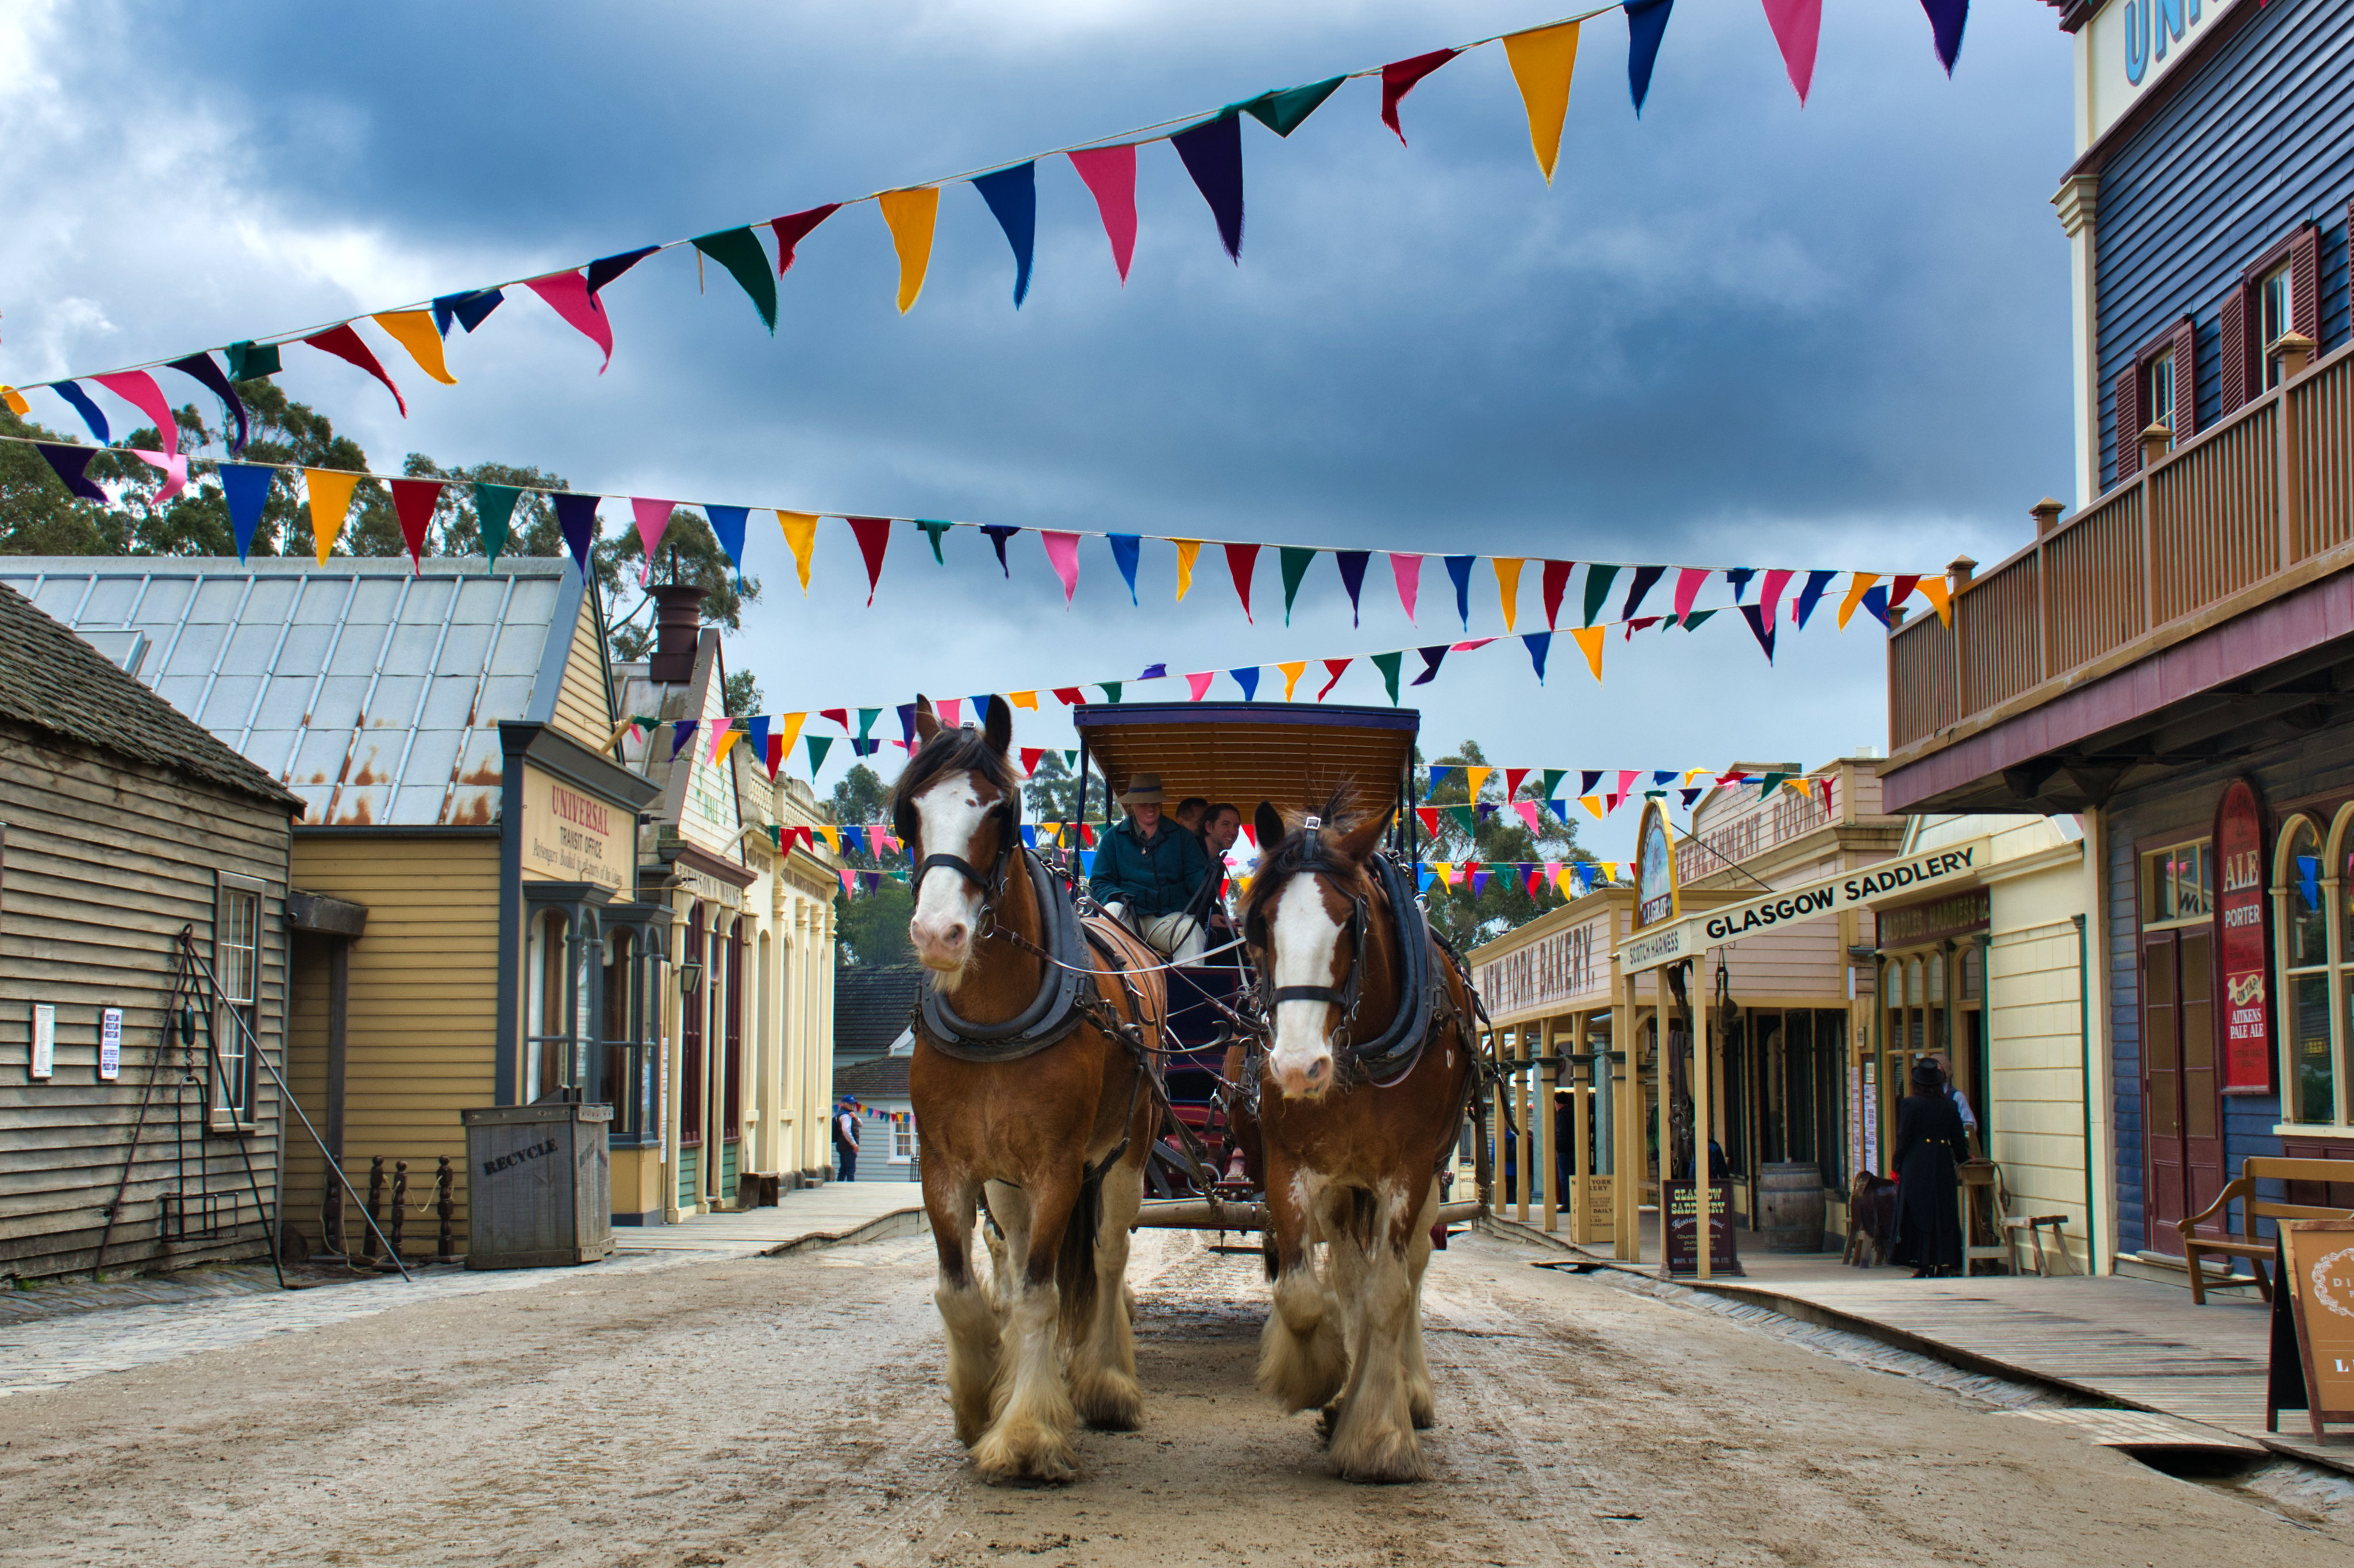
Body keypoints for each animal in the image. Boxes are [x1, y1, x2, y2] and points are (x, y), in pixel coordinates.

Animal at [894, 696, 1163, 1478]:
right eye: (910, 811)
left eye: (1002, 811)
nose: (940, 933)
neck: (997, 1020)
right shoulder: (949, 1165)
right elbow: (962, 1290)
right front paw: (979, 1396)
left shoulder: (1058, 1168)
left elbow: (1045, 1292)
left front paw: (1026, 1433)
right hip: (1006, 1176)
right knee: (1013, 1258)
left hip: (1126, 1153)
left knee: (1107, 1255)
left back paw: (1106, 1381)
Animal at [1233, 795, 1468, 1478]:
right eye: (1261, 925)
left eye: (1349, 922)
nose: (1295, 1068)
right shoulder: (1287, 1163)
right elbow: (1305, 1292)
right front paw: (1319, 1377)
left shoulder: (1411, 1169)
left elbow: (1390, 1292)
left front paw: (1379, 1437)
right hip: (1342, 1184)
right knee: (1346, 1271)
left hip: (1430, 1176)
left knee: (1408, 1269)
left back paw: (1407, 1390)